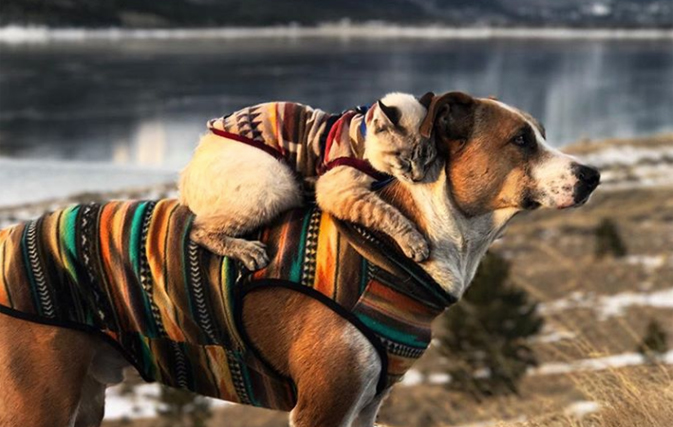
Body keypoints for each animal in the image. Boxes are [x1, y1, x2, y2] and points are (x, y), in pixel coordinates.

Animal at [178, 93, 436, 270]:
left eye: (428, 159)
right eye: (405, 160)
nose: (418, 178)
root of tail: (185, 175)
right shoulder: (337, 191)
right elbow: (389, 214)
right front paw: (417, 246)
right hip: (279, 183)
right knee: (197, 228)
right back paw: (251, 253)